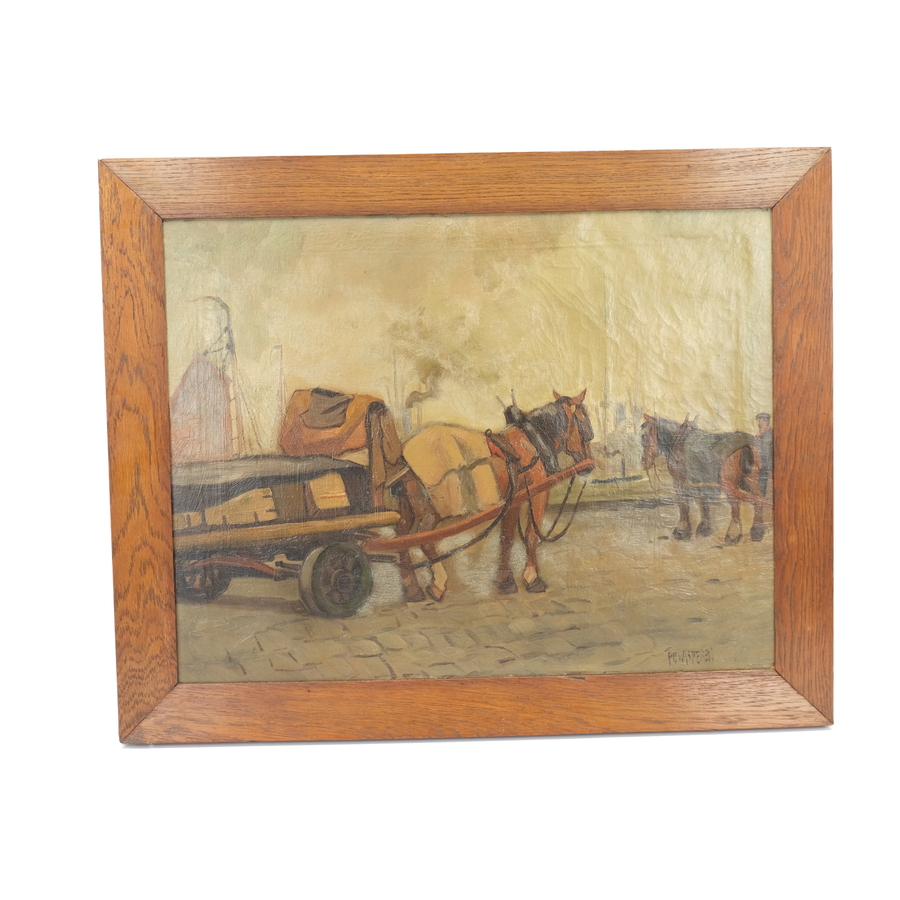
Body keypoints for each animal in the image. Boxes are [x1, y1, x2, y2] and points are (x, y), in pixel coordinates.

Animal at [394, 390, 594, 602]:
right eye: (584, 421)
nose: (588, 465)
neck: (530, 443)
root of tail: (406, 458)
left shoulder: (512, 502)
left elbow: (506, 539)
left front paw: (505, 581)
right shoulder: (538, 495)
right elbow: (531, 536)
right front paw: (532, 578)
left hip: (408, 506)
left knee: (401, 535)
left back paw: (411, 588)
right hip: (432, 511)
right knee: (423, 539)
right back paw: (438, 583)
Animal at [640, 415, 770, 544]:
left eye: (644, 436)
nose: (644, 462)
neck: (678, 441)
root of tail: (746, 444)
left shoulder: (679, 482)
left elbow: (683, 504)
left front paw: (682, 530)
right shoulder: (701, 481)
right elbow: (703, 502)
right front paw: (705, 528)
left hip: (729, 484)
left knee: (735, 503)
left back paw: (733, 534)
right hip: (751, 479)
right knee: (758, 498)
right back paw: (757, 531)